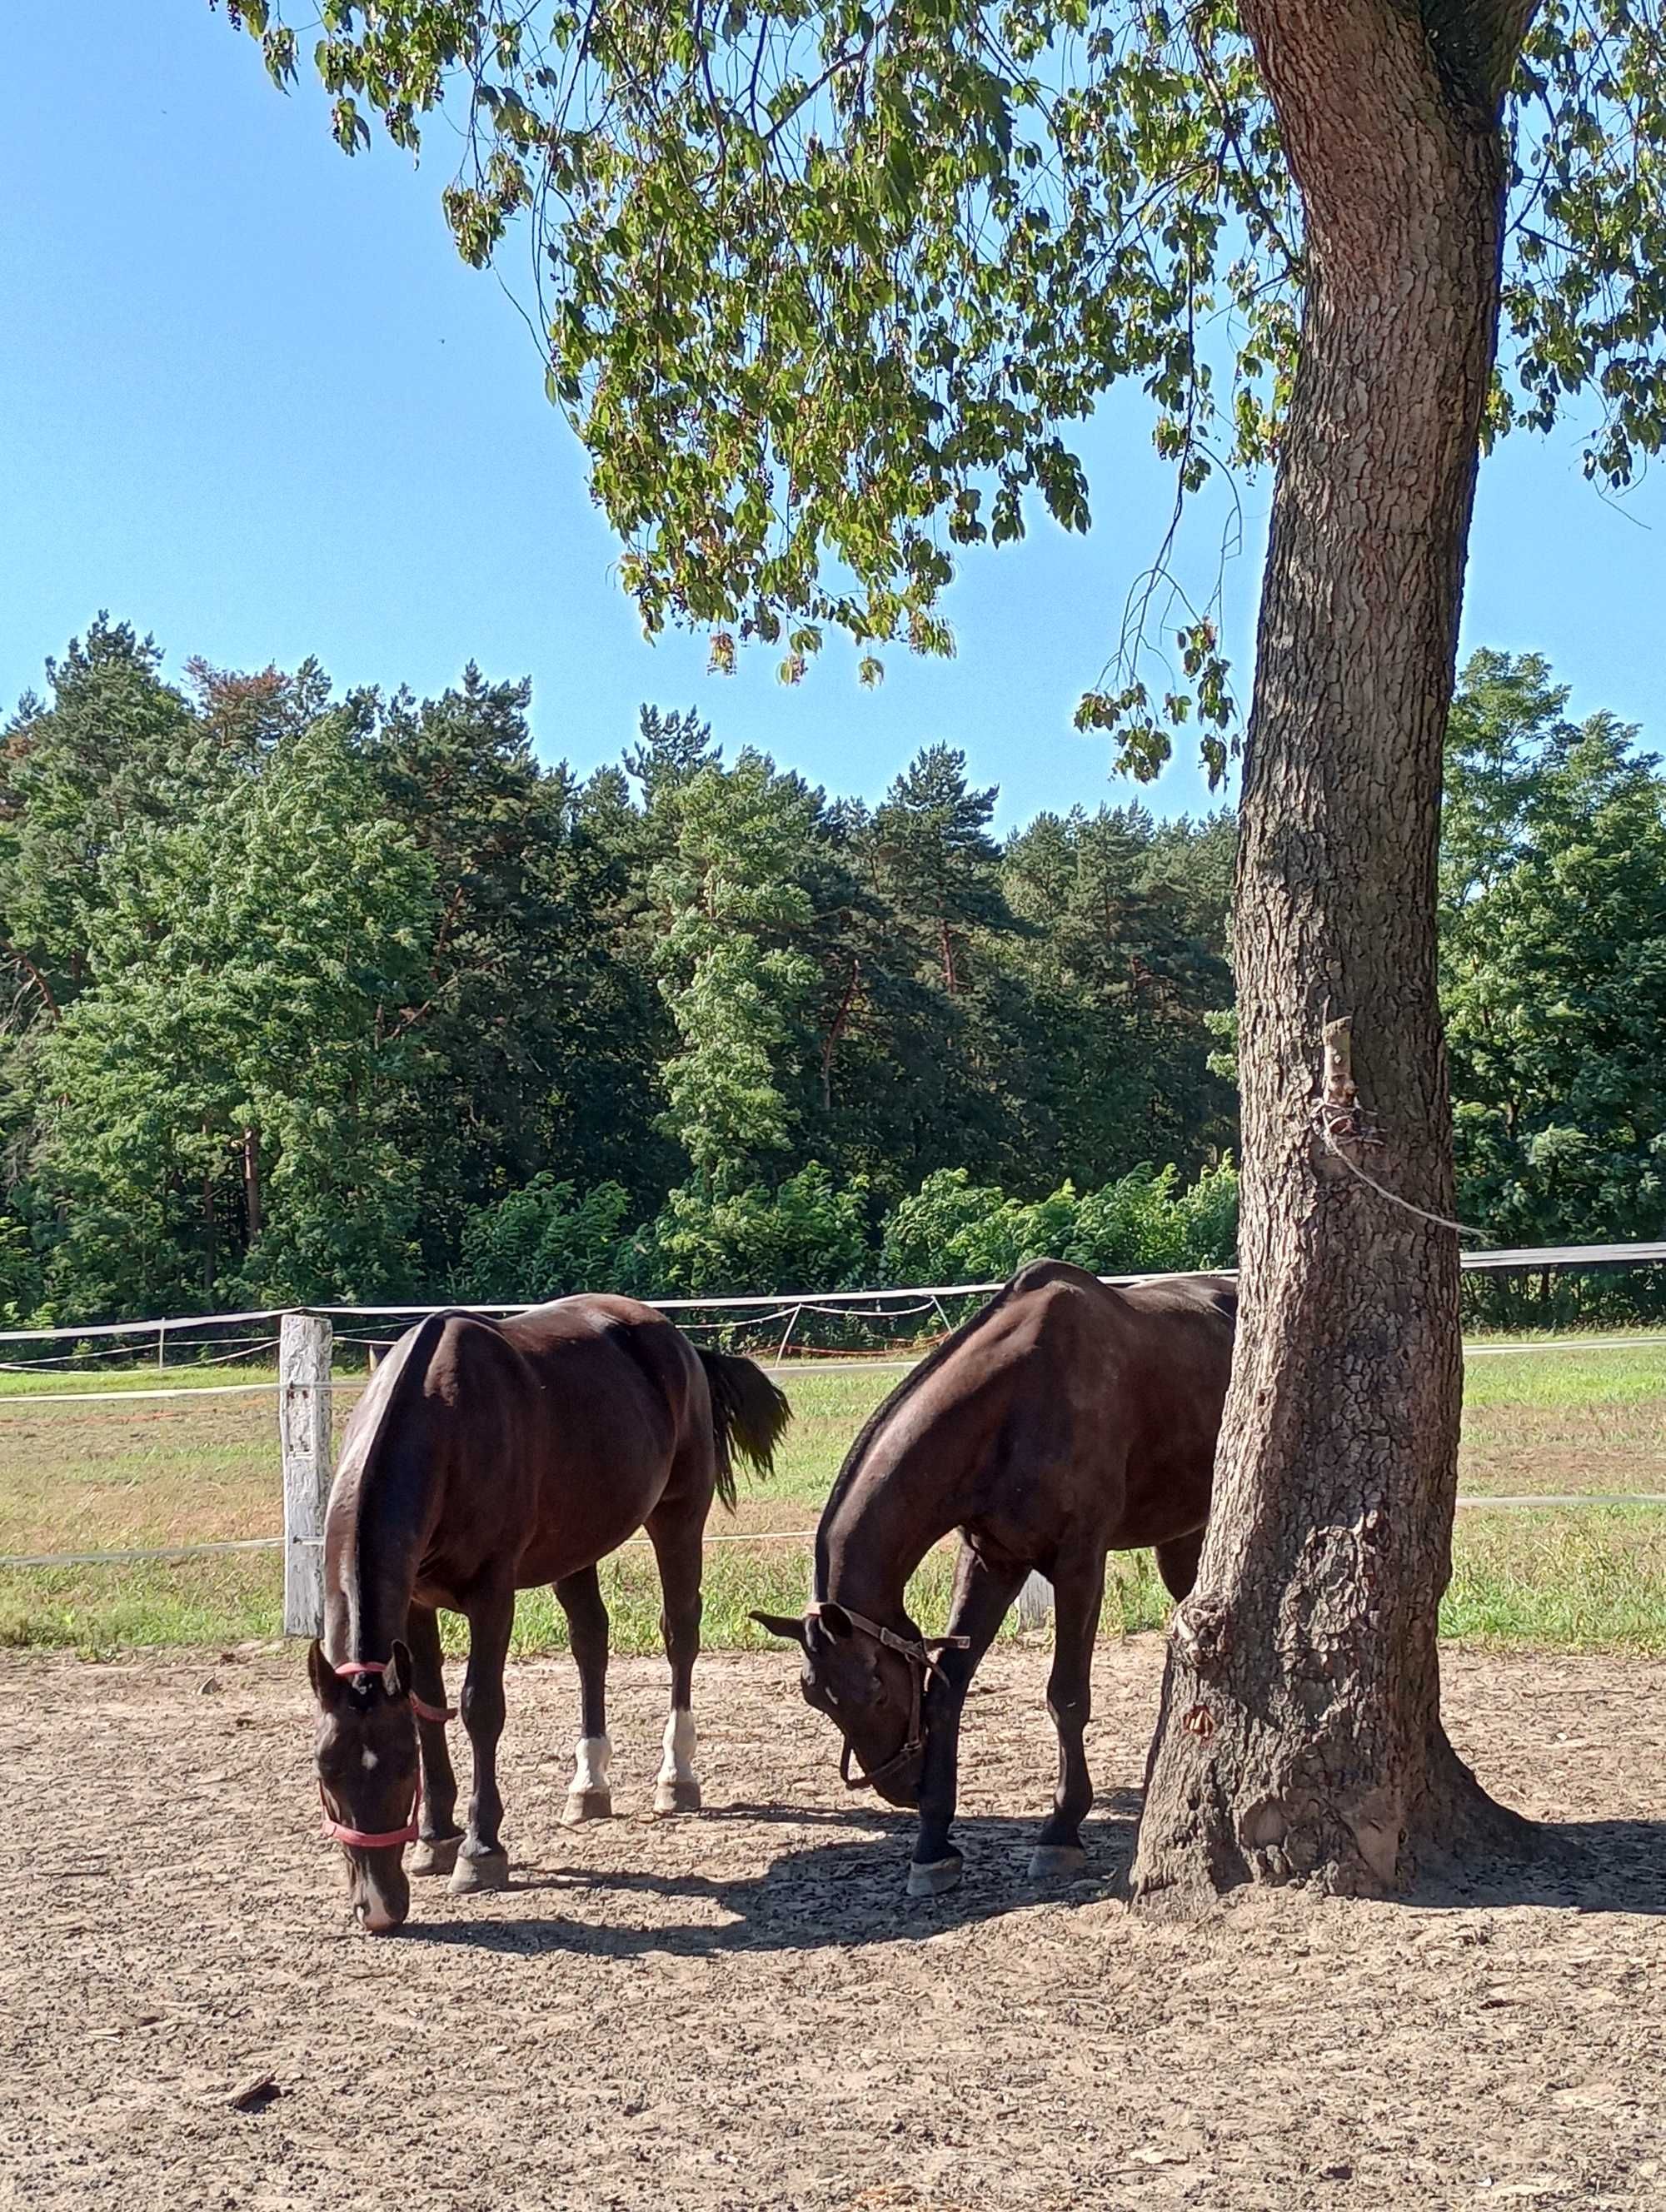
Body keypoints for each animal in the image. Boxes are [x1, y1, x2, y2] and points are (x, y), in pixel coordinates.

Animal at [309, 1292, 787, 1937]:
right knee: (591, 1642)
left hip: (679, 1516)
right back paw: (589, 1788)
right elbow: (428, 1707)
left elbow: (479, 1708)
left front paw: (480, 1850)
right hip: (577, 1547)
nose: (379, 1908)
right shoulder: (414, 1601)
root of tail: (675, 1338)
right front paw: (435, 1838)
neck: (442, 1422)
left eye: (402, 1769)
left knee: (680, 1633)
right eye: (327, 1772)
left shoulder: (492, 1593)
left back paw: (676, 1778)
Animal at [752, 1265, 1239, 1902]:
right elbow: (947, 1689)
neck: (1015, 1402)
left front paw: (1060, 1830)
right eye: (815, 1696)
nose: (899, 1787)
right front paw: (933, 1843)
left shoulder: (1079, 1565)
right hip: (1183, 1537)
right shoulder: (991, 1561)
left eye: (876, 1689)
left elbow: (1066, 1696)